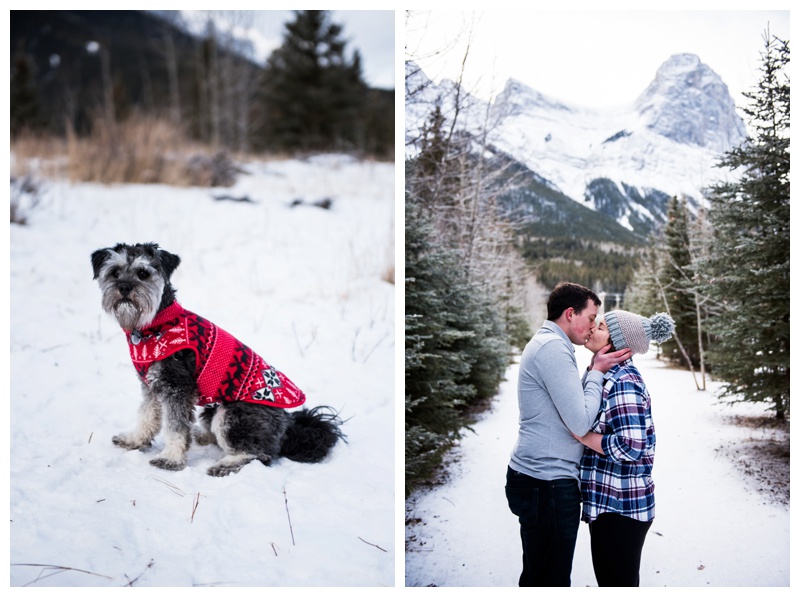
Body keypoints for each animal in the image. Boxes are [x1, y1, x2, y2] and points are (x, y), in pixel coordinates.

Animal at [90, 240, 344, 478]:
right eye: (115, 272)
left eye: (143, 273)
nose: (124, 287)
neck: (156, 324)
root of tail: (289, 426)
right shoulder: (151, 385)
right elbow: (146, 415)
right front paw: (134, 440)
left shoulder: (176, 386)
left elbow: (175, 427)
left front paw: (170, 458)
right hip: (211, 410)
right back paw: (201, 435)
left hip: (232, 415)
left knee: (258, 453)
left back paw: (223, 465)